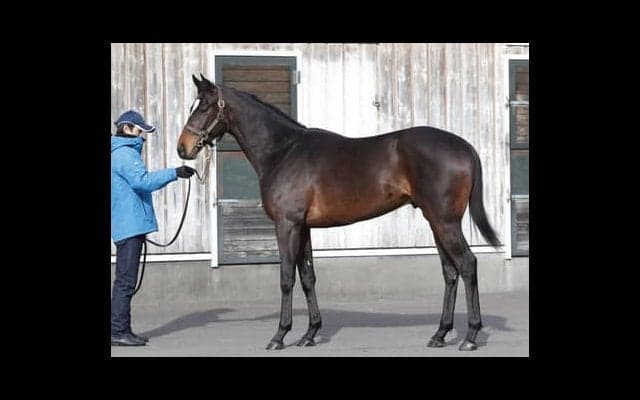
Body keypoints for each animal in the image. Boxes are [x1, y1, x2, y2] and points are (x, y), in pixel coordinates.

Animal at [177, 74, 501, 351]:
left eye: (204, 106)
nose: (183, 148)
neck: (284, 151)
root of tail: (464, 147)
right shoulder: (303, 227)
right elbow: (308, 277)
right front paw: (310, 334)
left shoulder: (287, 225)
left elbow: (286, 278)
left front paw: (280, 335)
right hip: (436, 222)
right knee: (450, 272)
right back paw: (440, 333)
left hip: (445, 222)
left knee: (467, 265)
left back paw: (470, 336)